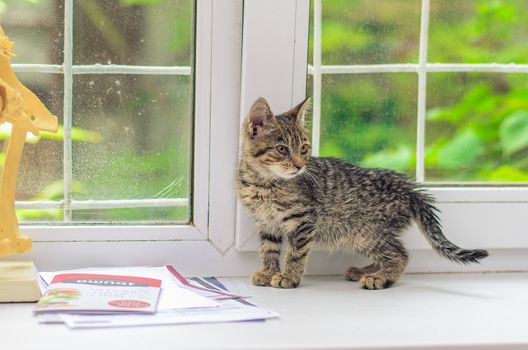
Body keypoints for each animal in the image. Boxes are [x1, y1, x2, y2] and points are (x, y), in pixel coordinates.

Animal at [237, 96, 488, 290]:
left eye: (304, 149)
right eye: (282, 149)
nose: (300, 165)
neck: (263, 184)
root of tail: (409, 188)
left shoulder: (304, 220)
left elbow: (295, 253)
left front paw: (289, 276)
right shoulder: (266, 223)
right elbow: (268, 249)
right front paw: (268, 272)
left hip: (367, 232)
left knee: (400, 254)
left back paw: (380, 277)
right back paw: (366, 271)